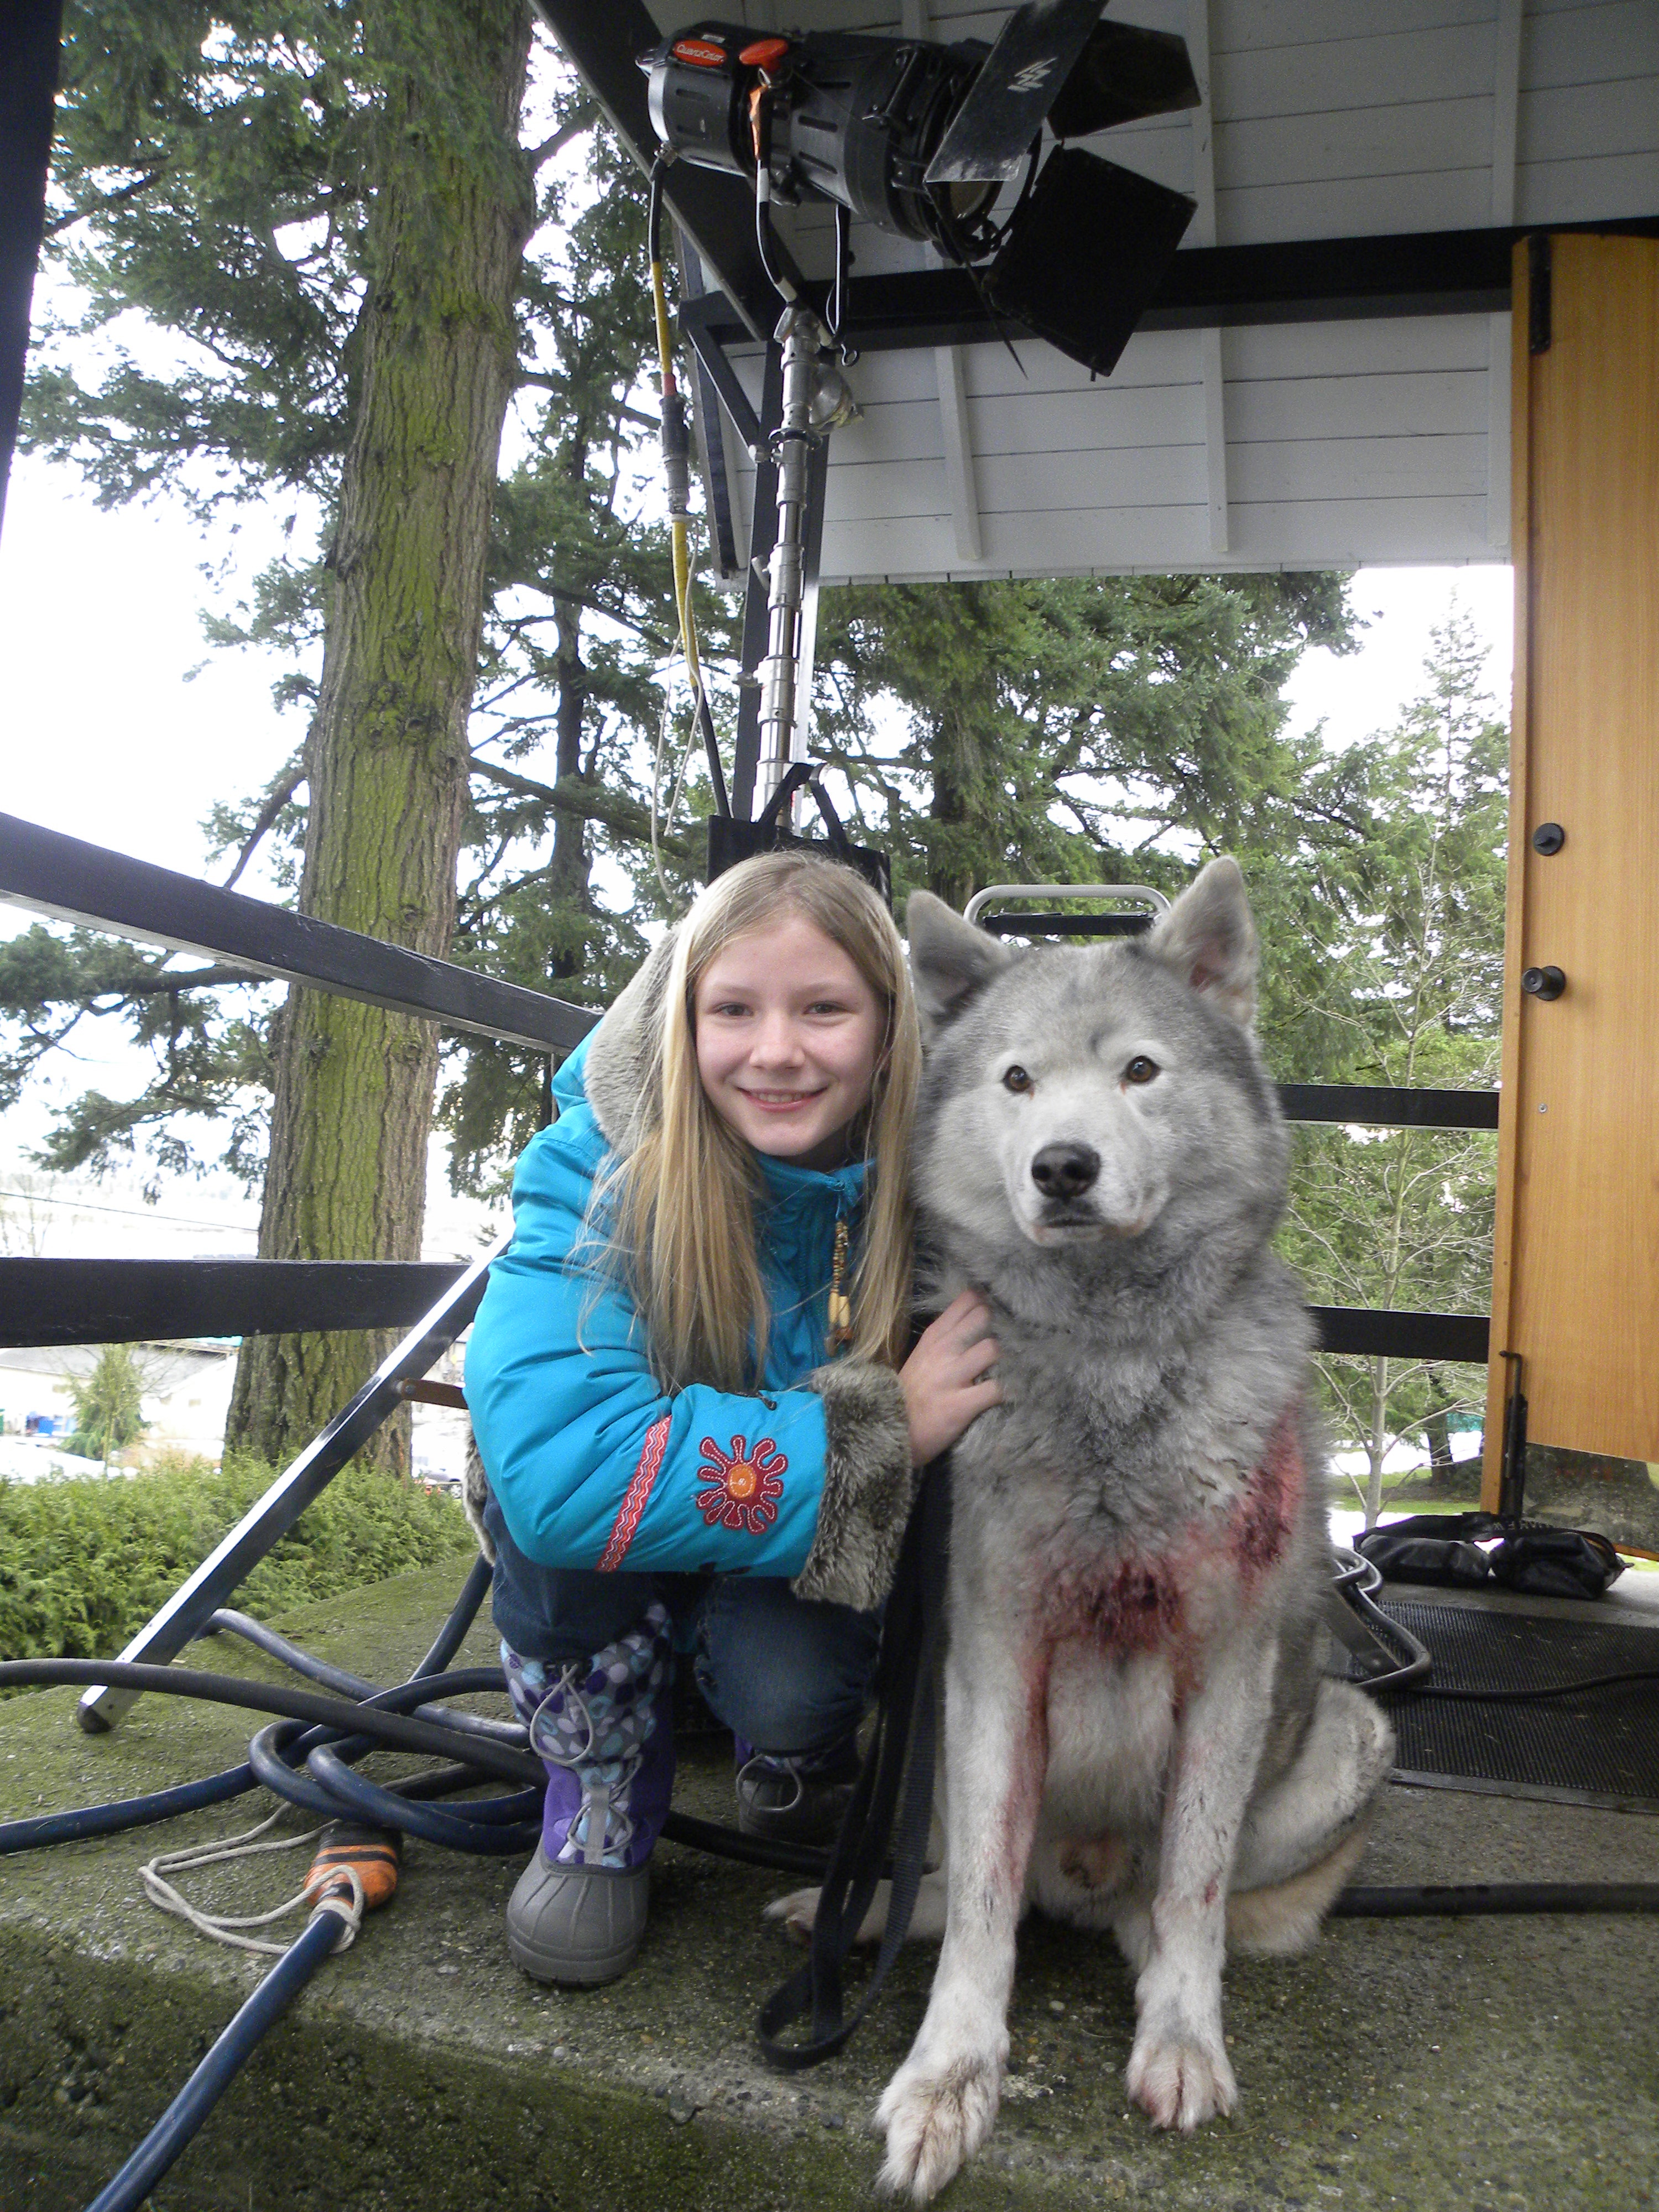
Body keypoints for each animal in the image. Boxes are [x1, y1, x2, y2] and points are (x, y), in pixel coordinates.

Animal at [774, 858, 1398, 2194]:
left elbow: (1196, 1892)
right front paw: (949, 2076)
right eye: (1016, 1080)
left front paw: (1183, 2038)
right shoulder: (992, 1662)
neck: (1110, 1369)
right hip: (903, 1710)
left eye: (1140, 1071)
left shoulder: (1226, 1668)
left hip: (1350, 1736)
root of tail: (1083, 1885)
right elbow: (977, 1913)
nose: (1063, 1165)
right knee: (977, 1886)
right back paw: (862, 1915)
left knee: (1170, 1911)